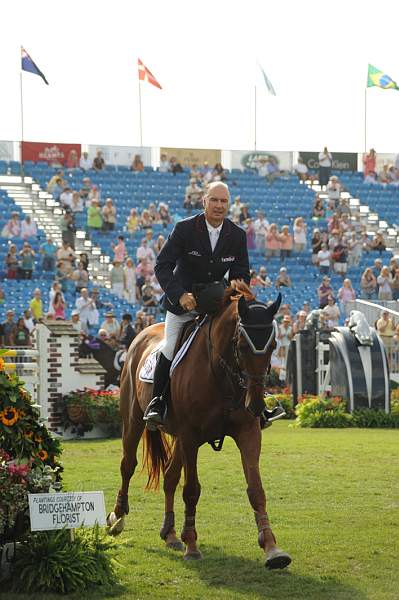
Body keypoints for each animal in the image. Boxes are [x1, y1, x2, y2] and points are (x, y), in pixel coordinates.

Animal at [108, 284, 292, 568]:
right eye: (241, 345)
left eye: (273, 345)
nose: (256, 405)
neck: (221, 374)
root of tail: (142, 334)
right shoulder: (190, 436)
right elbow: (192, 490)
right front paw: (192, 546)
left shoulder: (248, 433)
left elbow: (256, 490)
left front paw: (272, 548)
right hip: (134, 420)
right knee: (128, 465)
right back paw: (117, 519)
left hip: (178, 438)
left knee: (170, 477)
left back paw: (171, 534)